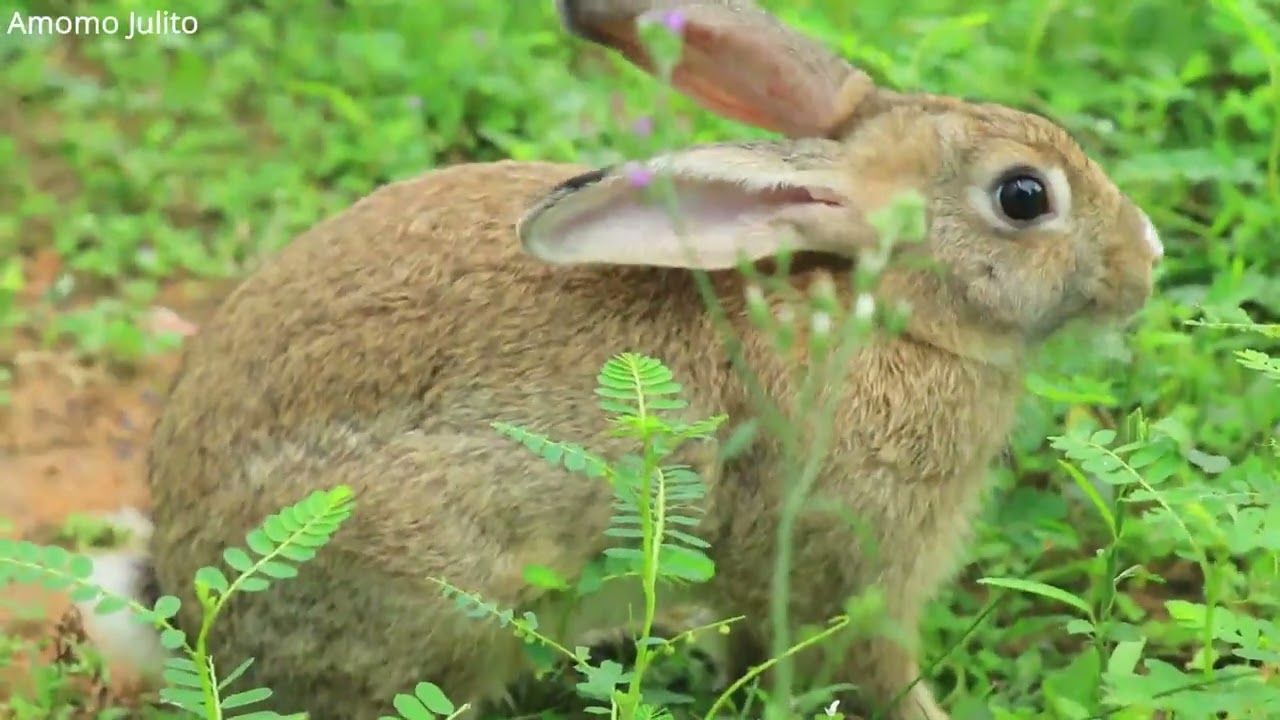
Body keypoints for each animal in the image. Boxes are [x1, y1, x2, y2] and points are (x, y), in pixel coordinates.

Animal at [76, 1, 1164, 719]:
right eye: (1023, 197)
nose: (1147, 259)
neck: (880, 307)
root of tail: (186, 599)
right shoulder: (849, 570)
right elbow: (869, 672)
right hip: (434, 586)